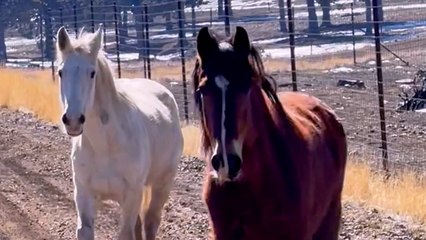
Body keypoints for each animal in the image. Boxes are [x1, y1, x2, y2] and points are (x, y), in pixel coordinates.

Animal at [55, 24, 183, 240]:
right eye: (60, 72)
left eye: (92, 73)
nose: (72, 120)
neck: (105, 146)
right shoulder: (84, 194)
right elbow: (86, 230)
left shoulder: (131, 196)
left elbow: (126, 233)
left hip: (162, 184)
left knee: (150, 222)